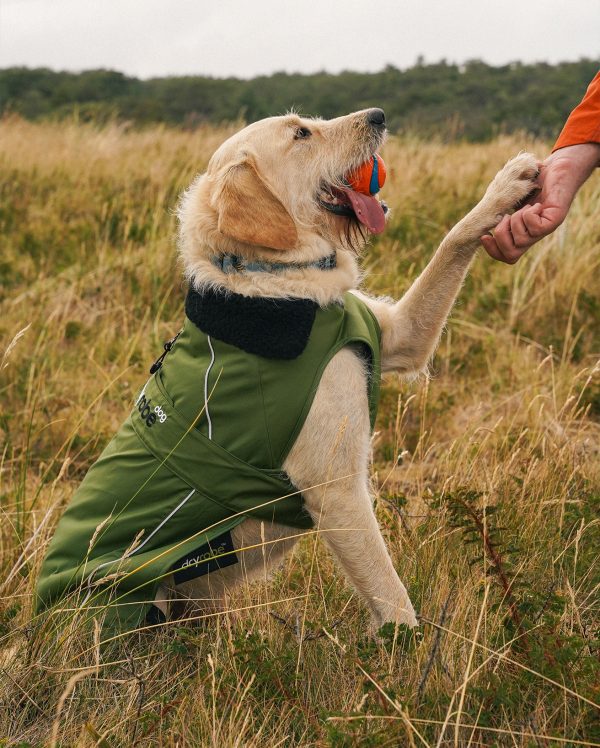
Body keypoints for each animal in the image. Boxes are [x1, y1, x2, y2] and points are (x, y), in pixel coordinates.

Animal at [157, 106, 536, 632]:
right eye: (301, 133)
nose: (379, 115)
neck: (273, 280)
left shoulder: (400, 335)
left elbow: (452, 240)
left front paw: (504, 187)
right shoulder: (337, 489)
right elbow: (391, 594)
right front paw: (409, 650)